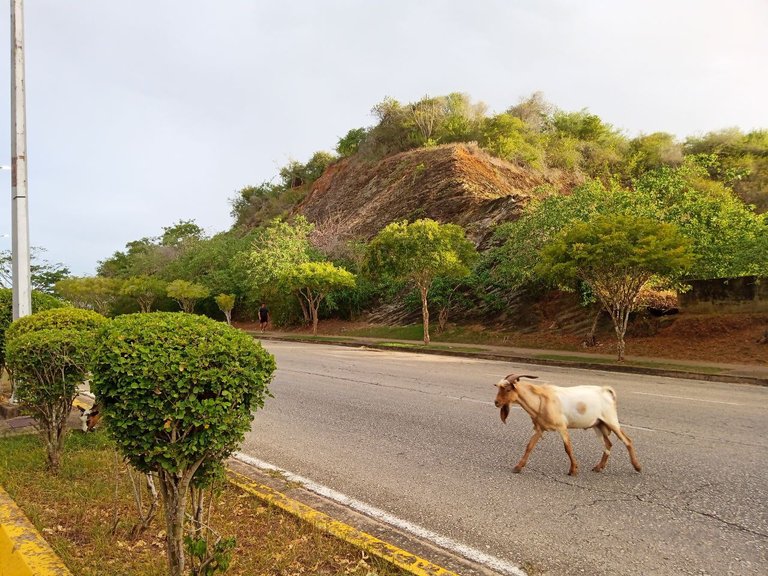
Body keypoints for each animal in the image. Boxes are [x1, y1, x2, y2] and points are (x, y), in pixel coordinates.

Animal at [492, 374, 640, 476]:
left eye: (507, 389)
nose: (496, 402)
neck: (541, 399)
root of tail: (606, 391)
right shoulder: (540, 428)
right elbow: (529, 446)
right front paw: (517, 467)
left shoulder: (562, 427)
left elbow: (567, 448)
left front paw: (573, 470)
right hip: (598, 425)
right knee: (608, 444)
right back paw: (598, 467)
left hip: (611, 421)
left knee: (627, 440)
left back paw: (637, 467)